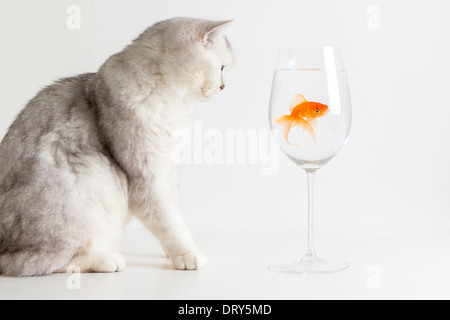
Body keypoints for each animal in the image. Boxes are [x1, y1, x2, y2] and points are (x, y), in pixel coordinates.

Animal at [0, 17, 232, 276]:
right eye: (222, 68)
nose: (223, 87)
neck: (174, 101)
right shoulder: (146, 178)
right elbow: (169, 222)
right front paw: (187, 253)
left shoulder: (168, 169)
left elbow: (175, 214)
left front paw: (170, 252)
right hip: (87, 173)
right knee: (40, 262)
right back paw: (106, 259)